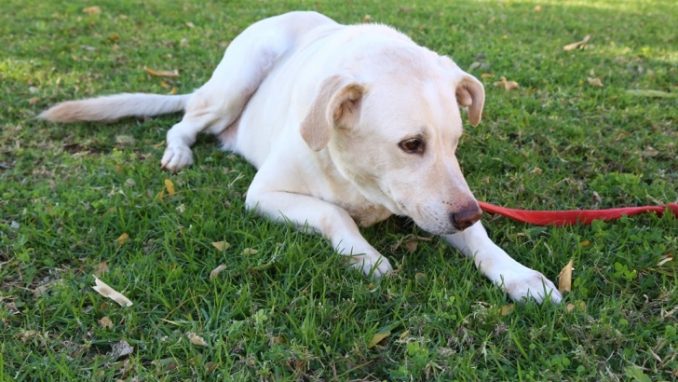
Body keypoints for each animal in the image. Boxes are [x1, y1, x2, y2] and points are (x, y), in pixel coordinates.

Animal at [41, 11, 564, 302]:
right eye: (411, 144)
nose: (468, 212)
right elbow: (334, 215)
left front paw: (520, 277)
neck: (358, 178)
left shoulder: (442, 202)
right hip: (237, 79)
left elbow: (481, 241)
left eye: (455, 142)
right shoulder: (265, 195)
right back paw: (178, 153)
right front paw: (366, 257)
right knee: (184, 122)